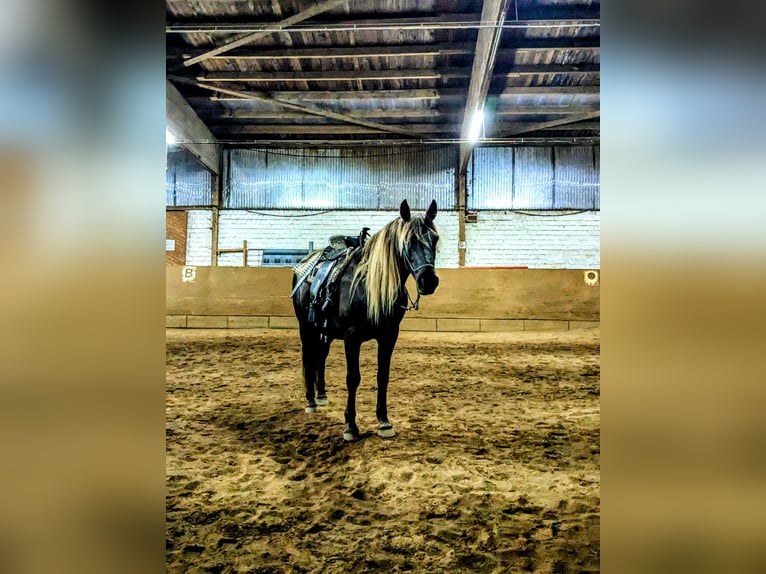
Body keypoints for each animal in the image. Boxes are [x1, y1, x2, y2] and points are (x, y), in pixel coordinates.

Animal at [291, 199, 440, 441]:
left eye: (434, 239)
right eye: (408, 241)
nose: (428, 280)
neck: (370, 286)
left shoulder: (389, 335)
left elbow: (383, 376)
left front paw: (384, 422)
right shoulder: (352, 336)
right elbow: (353, 378)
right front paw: (350, 426)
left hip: (327, 332)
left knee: (320, 355)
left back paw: (321, 395)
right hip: (306, 328)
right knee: (308, 357)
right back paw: (311, 401)